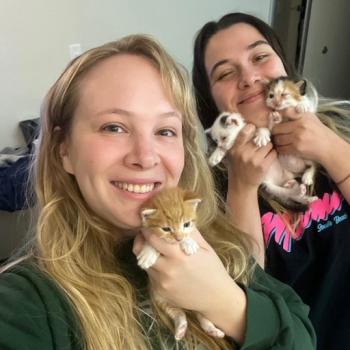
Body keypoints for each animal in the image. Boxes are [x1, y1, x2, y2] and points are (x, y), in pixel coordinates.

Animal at [137, 187, 224, 340]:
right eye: (166, 229)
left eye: (186, 224)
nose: (178, 238)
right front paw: (148, 254)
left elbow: (190, 235)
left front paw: (189, 243)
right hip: (162, 299)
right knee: (179, 313)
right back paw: (181, 328)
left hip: (203, 301)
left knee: (202, 315)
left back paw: (212, 330)